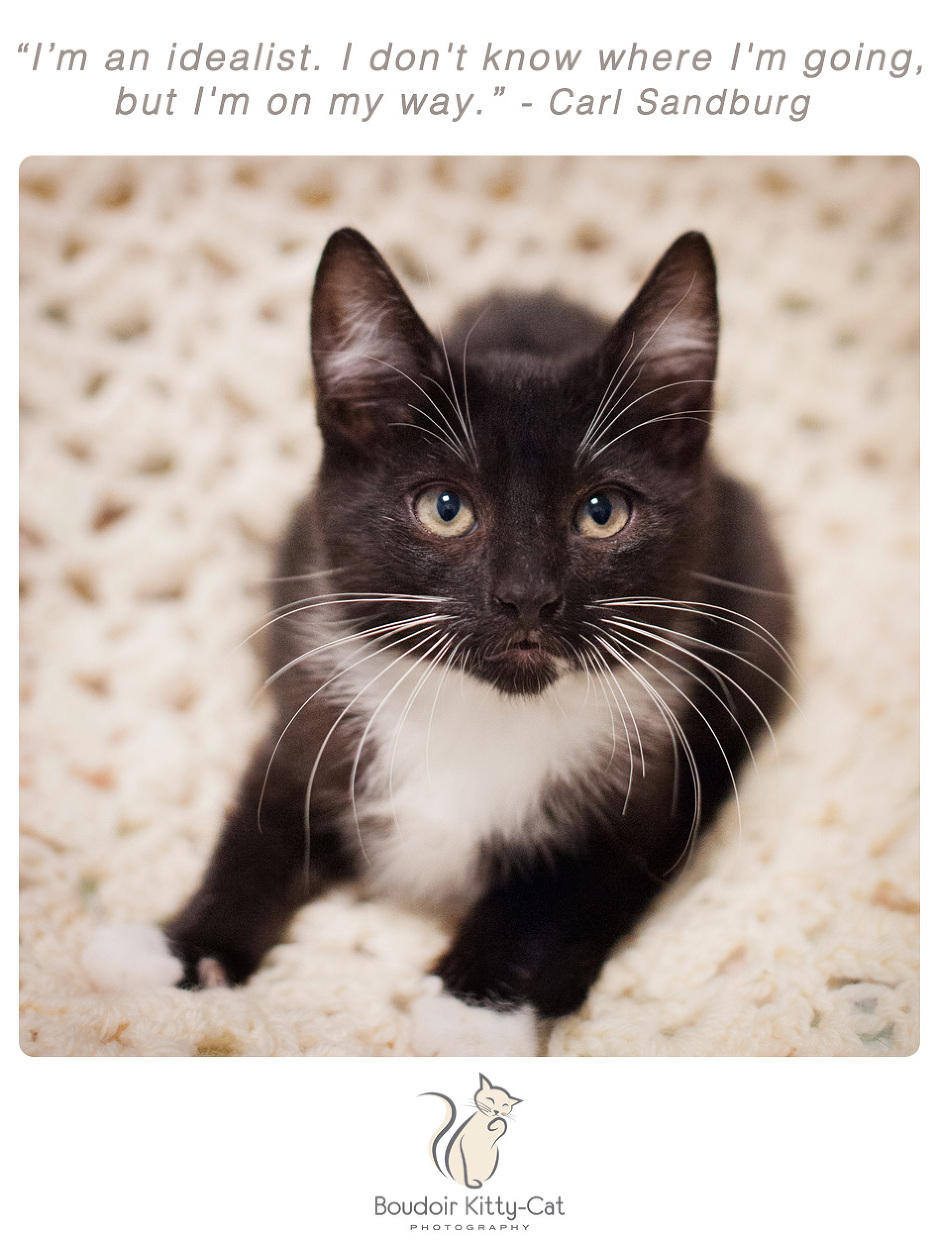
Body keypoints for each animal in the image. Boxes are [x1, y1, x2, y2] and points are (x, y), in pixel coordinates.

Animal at [86, 228, 790, 1054]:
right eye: (446, 508)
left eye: (603, 512)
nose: (527, 595)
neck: (481, 712)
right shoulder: (312, 708)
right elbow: (258, 828)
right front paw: (178, 948)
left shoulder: (649, 789)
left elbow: (558, 895)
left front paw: (475, 1007)